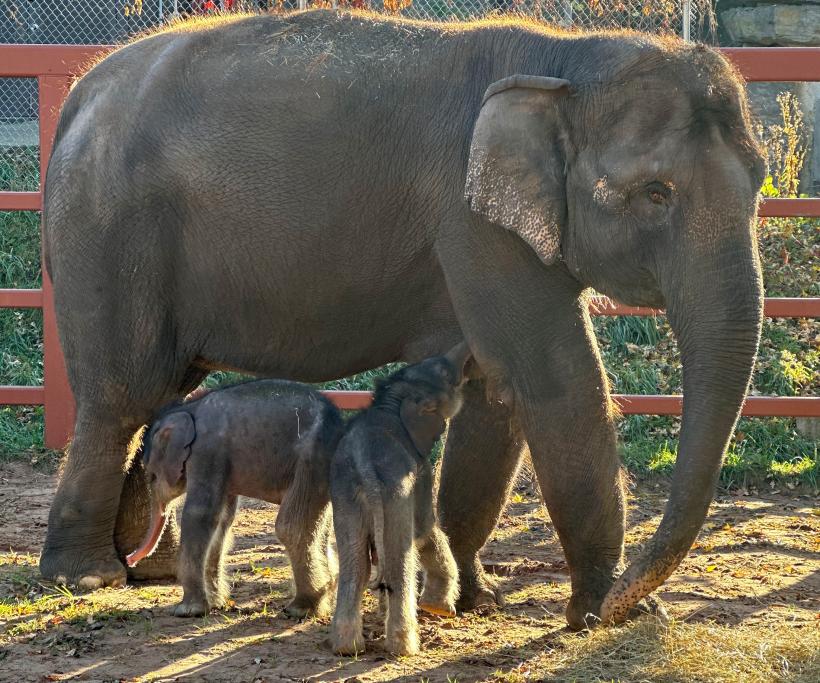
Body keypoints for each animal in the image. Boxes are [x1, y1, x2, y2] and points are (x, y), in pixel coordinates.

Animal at [126, 380, 344, 618]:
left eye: (151, 476)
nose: (129, 559)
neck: (189, 409)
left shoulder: (206, 453)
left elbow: (199, 515)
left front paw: (187, 611)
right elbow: (222, 520)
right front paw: (216, 603)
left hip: (310, 461)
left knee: (291, 527)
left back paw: (300, 608)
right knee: (319, 528)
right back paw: (325, 596)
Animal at [330, 344, 469, 656]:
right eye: (445, 374)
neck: (391, 397)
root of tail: (364, 461)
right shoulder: (420, 470)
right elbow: (426, 528)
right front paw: (441, 609)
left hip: (345, 495)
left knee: (356, 564)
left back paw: (347, 648)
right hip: (393, 490)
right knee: (398, 560)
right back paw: (405, 647)